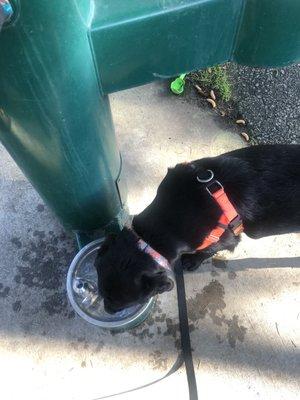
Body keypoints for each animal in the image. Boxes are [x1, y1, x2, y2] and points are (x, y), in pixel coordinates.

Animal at [96, 145, 300, 314]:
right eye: (101, 290)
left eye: (119, 300)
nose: (108, 311)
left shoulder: (225, 239)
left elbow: (208, 251)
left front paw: (192, 261)